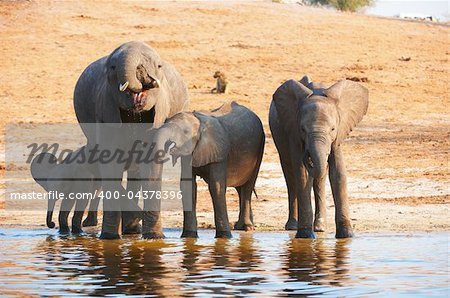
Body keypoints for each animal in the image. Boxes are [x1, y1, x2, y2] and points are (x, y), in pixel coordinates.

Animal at [73, 40, 188, 240]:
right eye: (112, 67)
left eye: (158, 66)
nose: (142, 74)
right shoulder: (106, 108)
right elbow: (110, 163)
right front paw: (109, 238)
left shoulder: (159, 112)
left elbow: (151, 162)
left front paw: (154, 238)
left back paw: (133, 231)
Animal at [142, 101, 266, 239]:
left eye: (185, 132)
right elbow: (188, 186)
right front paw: (189, 236)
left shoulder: (219, 153)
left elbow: (216, 187)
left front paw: (224, 237)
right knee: (240, 188)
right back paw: (241, 226)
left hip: (260, 146)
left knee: (248, 187)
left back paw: (246, 227)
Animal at [268, 75, 368, 239]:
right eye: (303, 129)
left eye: (332, 129)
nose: (308, 155)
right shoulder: (294, 132)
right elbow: (302, 174)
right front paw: (305, 235)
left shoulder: (339, 133)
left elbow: (338, 173)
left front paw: (346, 235)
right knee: (290, 176)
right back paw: (293, 226)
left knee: (319, 179)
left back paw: (320, 227)